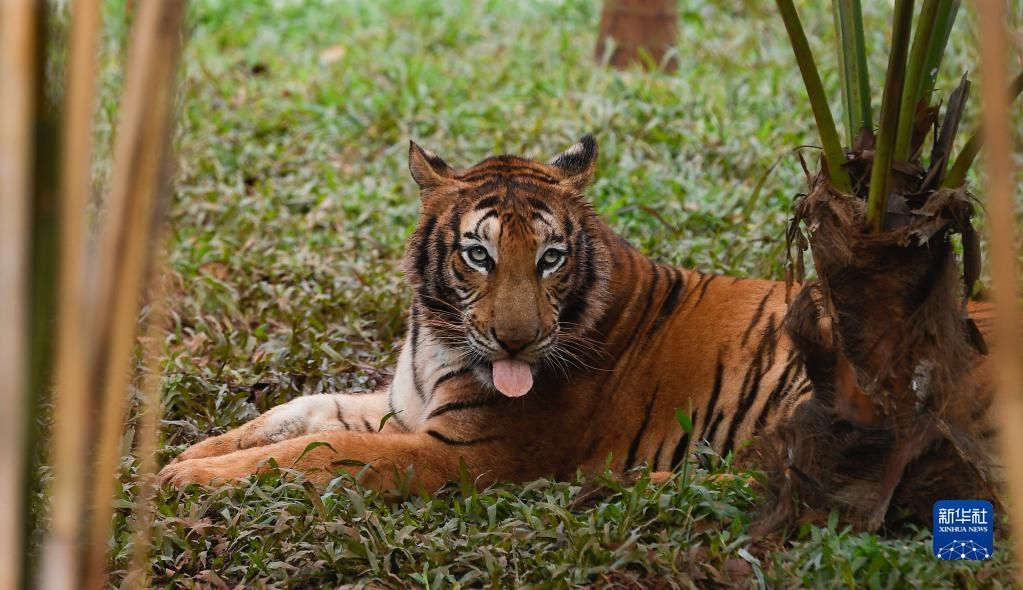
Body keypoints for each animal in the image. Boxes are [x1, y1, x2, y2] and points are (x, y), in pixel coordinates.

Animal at [159, 135, 998, 490]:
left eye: (551, 258)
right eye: (478, 256)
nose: (517, 341)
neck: (436, 340)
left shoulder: (464, 453)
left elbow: (318, 450)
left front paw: (187, 481)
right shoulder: (405, 407)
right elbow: (298, 412)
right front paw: (187, 454)